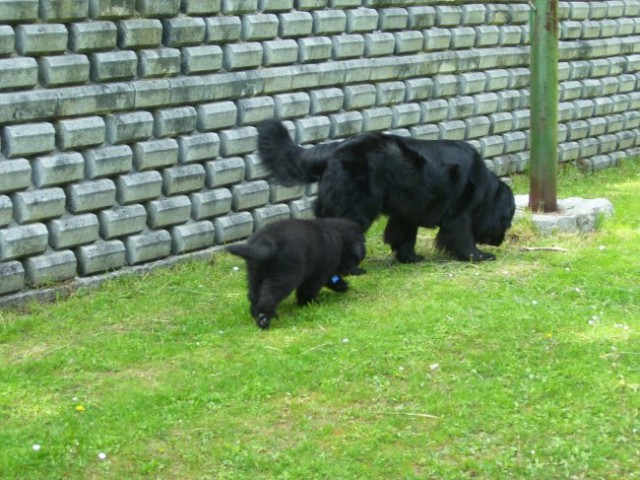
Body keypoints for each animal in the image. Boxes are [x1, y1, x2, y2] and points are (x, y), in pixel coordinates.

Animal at [226, 218, 364, 328]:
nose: (359, 269)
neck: (338, 237)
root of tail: (266, 242)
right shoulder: (319, 271)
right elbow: (309, 289)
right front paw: (309, 302)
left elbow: (330, 279)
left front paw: (342, 285)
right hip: (284, 276)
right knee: (269, 296)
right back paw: (264, 318)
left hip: (255, 274)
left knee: (254, 295)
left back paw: (257, 313)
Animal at [260, 119, 516, 262]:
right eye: (507, 221)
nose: (499, 242)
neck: (486, 190)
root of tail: (335, 148)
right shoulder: (459, 214)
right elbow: (462, 236)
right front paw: (478, 256)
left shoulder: (407, 212)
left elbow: (404, 235)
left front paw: (409, 258)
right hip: (355, 208)